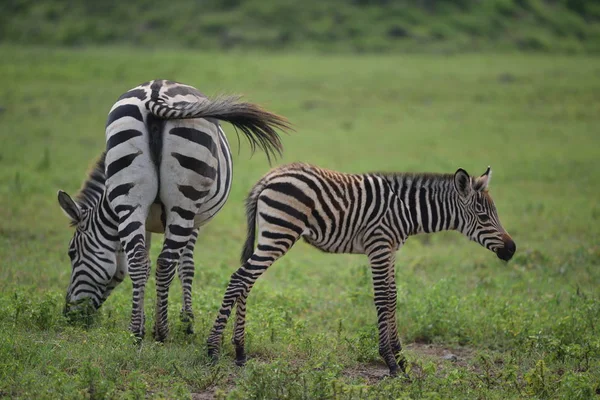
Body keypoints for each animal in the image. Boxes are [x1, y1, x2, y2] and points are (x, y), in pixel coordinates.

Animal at [58, 80, 290, 340]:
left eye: (71, 253)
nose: (68, 315)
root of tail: (155, 92)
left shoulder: (149, 219)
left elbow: (152, 263)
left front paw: (152, 320)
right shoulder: (193, 220)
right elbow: (184, 265)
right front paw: (185, 321)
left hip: (134, 197)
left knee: (139, 260)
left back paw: (138, 331)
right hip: (184, 201)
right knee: (166, 263)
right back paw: (161, 330)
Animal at [206, 162, 516, 376]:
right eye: (483, 216)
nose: (512, 250)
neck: (406, 210)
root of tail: (267, 178)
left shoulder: (390, 249)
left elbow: (393, 297)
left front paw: (401, 358)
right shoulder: (378, 246)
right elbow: (382, 298)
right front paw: (390, 361)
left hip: (271, 235)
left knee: (246, 281)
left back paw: (240, 351)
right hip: (280, 232)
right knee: (239, 279)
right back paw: (212, 350)